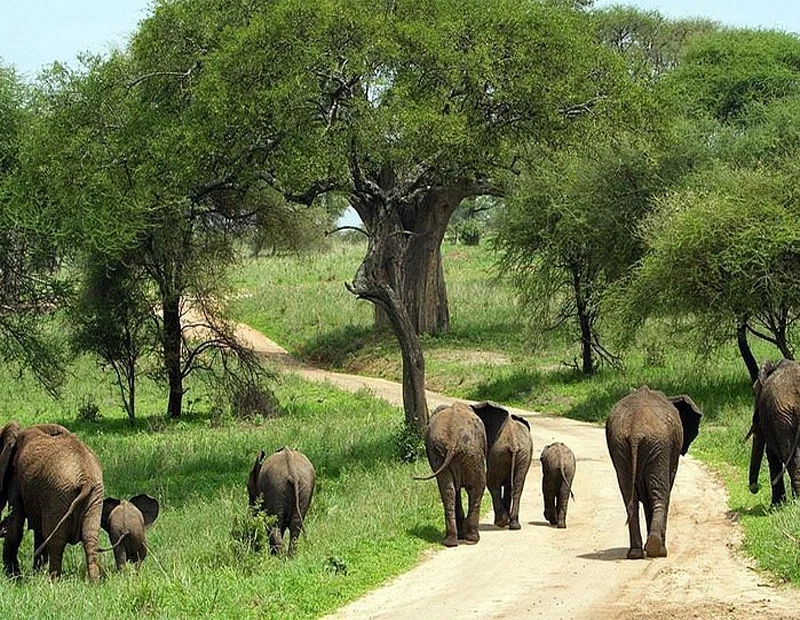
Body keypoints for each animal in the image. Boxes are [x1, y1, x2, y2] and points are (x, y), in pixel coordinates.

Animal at [0, 422, 104, 579]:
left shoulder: (15, 478)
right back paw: (94, 582)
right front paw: (31, 575)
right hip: (94, 497)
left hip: (57, 494)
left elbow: (15, 525)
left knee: (55, 541)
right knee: (90, 537)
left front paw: (14, 578)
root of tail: (86, 478)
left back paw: (52, 580)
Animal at [415, 402, 487, 547]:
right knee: (477, 487)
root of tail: (452, 441)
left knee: (448, 490)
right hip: (472, 452)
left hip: (443, 454)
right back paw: (471, 539)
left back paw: (451, 542)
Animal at [471, 402, 532, 530]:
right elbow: (509, 485)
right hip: (522, 455)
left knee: (491, 482)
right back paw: (514, 525)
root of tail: (514, 444)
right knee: (518, 486)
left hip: (499, 454)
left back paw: (501, 522)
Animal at [605, 386, 702, 559]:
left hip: (621, 446)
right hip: (659, 445)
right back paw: (659, 551)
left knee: (629, 498)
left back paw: (636, 553)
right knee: (660, 494)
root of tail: (635, 431)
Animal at [748, 359, 800, 505]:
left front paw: (775, 507)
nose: (756, 487)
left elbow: (770, 453)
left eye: (755, 394)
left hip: (783, 418)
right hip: (784, 418)